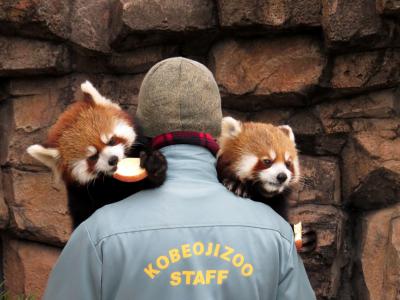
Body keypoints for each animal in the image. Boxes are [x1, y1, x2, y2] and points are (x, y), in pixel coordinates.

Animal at [27, 81, 167, 229]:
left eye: (111, 141)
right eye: (93, 157)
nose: (113, 159)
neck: (114, 181)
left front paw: (153, 166)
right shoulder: (82, 198)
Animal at [219, 116, 316, 252]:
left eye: (288, 163)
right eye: (267, 161)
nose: (282, 176)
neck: (263, 195)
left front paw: (306, 237)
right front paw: (237, 185)